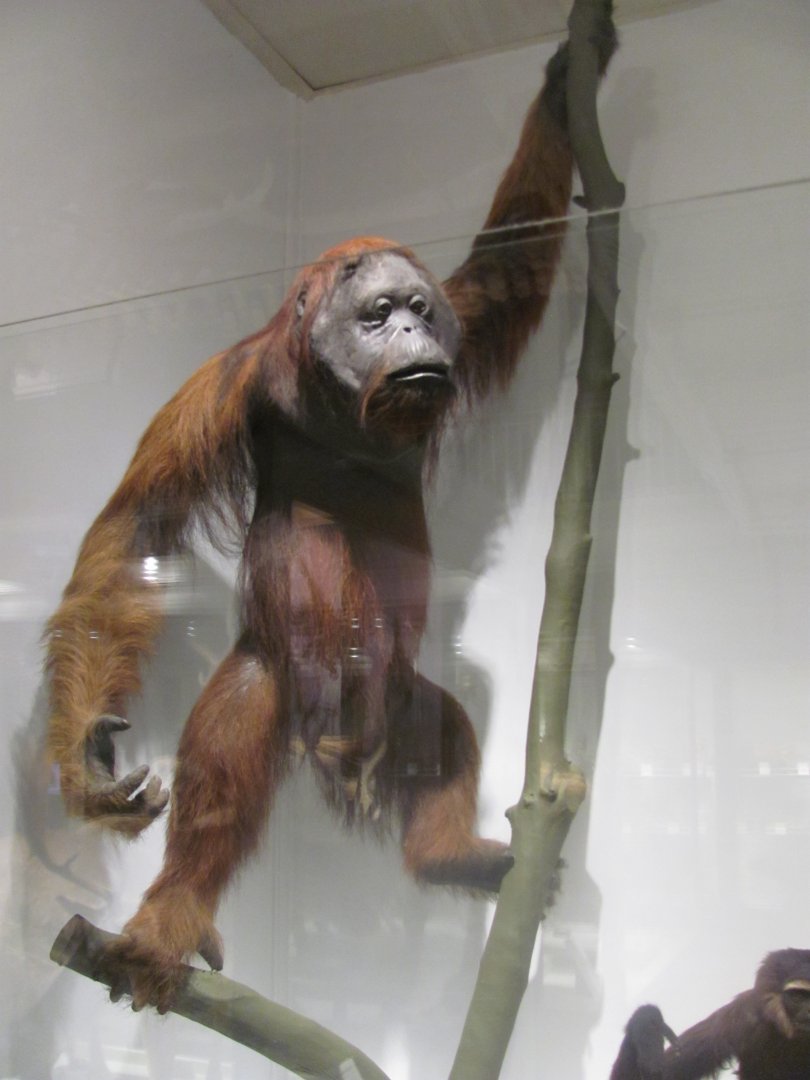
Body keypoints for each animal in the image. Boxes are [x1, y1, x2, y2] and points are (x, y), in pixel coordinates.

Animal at [45, 8, 618, 1011]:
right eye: (378, 312)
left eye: (419, 307)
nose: (416, 332)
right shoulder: (225, 382)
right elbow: (139, 532)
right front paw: (83, 763)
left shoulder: (461, 331)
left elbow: (506, 269)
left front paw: (564, 80)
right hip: (297, 694)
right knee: (259, 671)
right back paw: (171, 916)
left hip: (405, 699)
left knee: (444, 710)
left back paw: (447, 854)